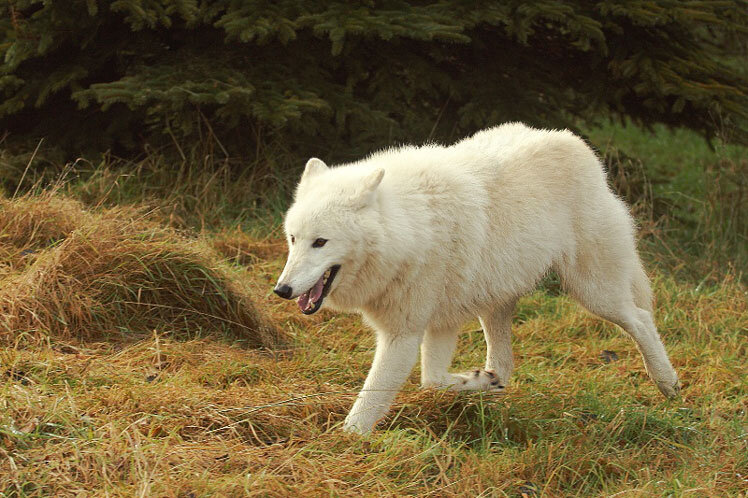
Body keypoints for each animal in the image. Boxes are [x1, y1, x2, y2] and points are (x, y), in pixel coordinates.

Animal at [274, 124, 676, 436]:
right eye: (293, 239)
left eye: (320, 242)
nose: (282, 290)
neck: (409, 230)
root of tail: (578, 145)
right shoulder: (439, 324)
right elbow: (432, 380)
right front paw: (478, 381)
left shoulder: (404, 334)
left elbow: (374, 399)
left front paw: (347, 441)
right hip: (494, 303)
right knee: (506, 362)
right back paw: (493, 386)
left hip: (594, 292)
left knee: (641, 318)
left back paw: (667, 382)